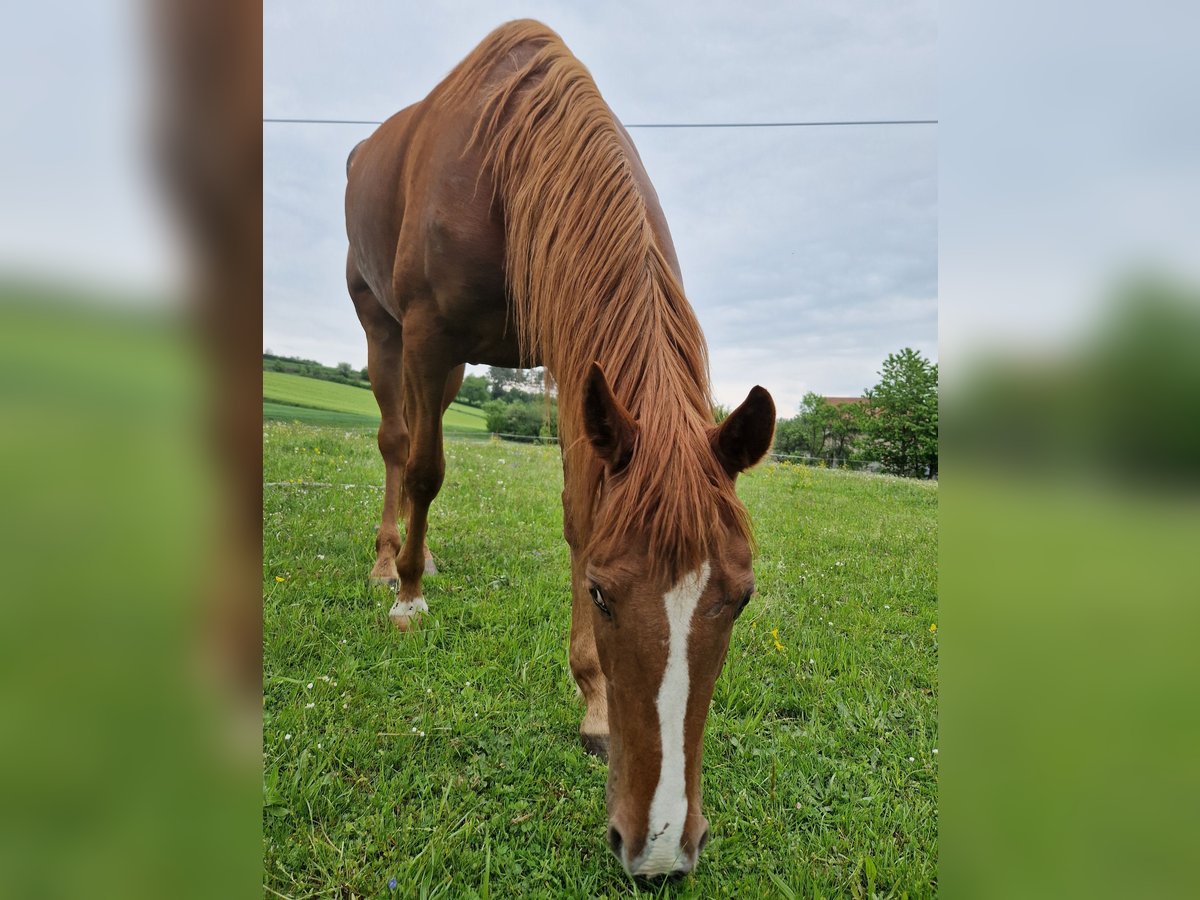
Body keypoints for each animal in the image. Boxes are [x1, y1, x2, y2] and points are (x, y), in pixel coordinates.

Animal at [348, 22, 777, 883]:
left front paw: (594, 702)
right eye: (605, 596)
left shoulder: (577, 360)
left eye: (742, 598)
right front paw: (408, 596)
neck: (504, 163)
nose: (659, 850)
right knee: (398, 444)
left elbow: (582, 514)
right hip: (388, 333)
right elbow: (426, 469)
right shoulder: (427, 332)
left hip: (448, 366)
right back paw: (392, 563)